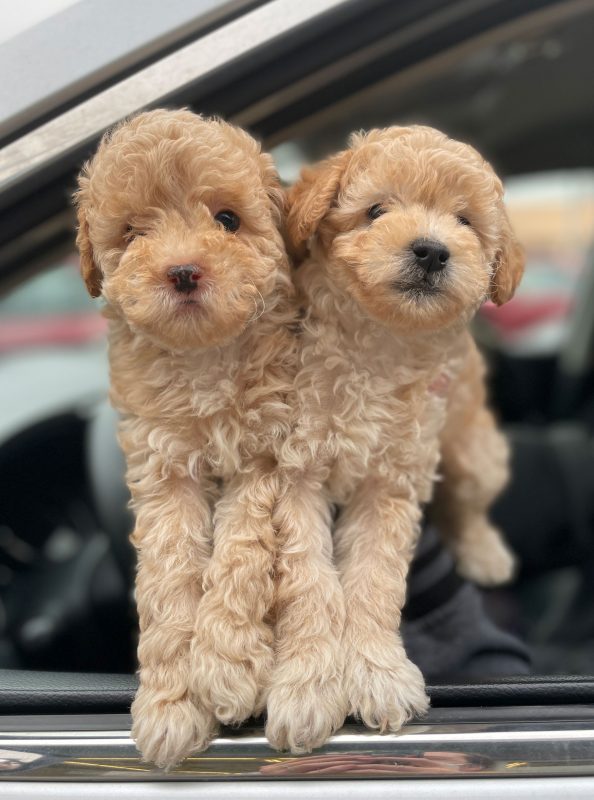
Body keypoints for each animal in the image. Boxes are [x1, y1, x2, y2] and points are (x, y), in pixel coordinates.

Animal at [73, 109, 296, 764]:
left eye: (227, 220)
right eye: (133, 232)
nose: (182, 272)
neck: (204, 359)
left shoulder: (265, 452)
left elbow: (241, 555)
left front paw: (226, 664)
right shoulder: (161, 466)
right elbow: (169, 575)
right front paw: (172, 702)